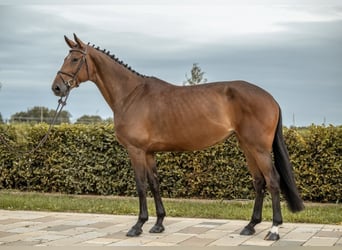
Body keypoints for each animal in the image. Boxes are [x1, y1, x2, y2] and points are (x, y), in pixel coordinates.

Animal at [52, 33, 304, 240]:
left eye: (75, 59)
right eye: (66, 57)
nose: (57, 88)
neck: (131, 95)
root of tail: (271, 98)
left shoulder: (136, 151)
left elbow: (141, 185)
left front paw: (138, 226)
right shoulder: (149, 152)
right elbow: (154, 184)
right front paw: (158, 224)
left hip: (259, 148)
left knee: (272, 181)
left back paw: (273, 230)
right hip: (247, 146)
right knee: (259, 182)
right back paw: (250, 226)